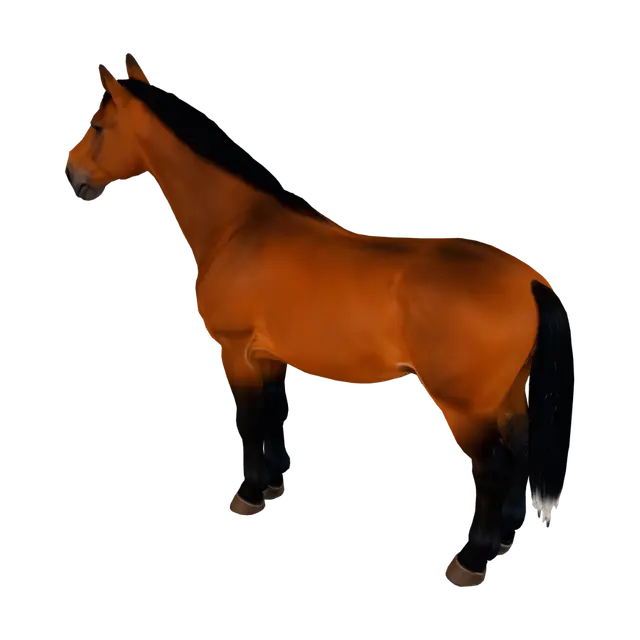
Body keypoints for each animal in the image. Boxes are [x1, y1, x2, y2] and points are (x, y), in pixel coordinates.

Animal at [63, 53, 572, 590]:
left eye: (98, 126)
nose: (71, 171)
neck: (240, 227)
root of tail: (531, 282)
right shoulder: (266, 353)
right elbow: (273, 412)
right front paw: (274, 484)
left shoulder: (233, 347)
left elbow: (248, 417)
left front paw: (248, 495)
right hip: (511, 397)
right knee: (520, 456)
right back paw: (505, 542)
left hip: (466, 409)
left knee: (493, 471)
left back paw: (469, 562)